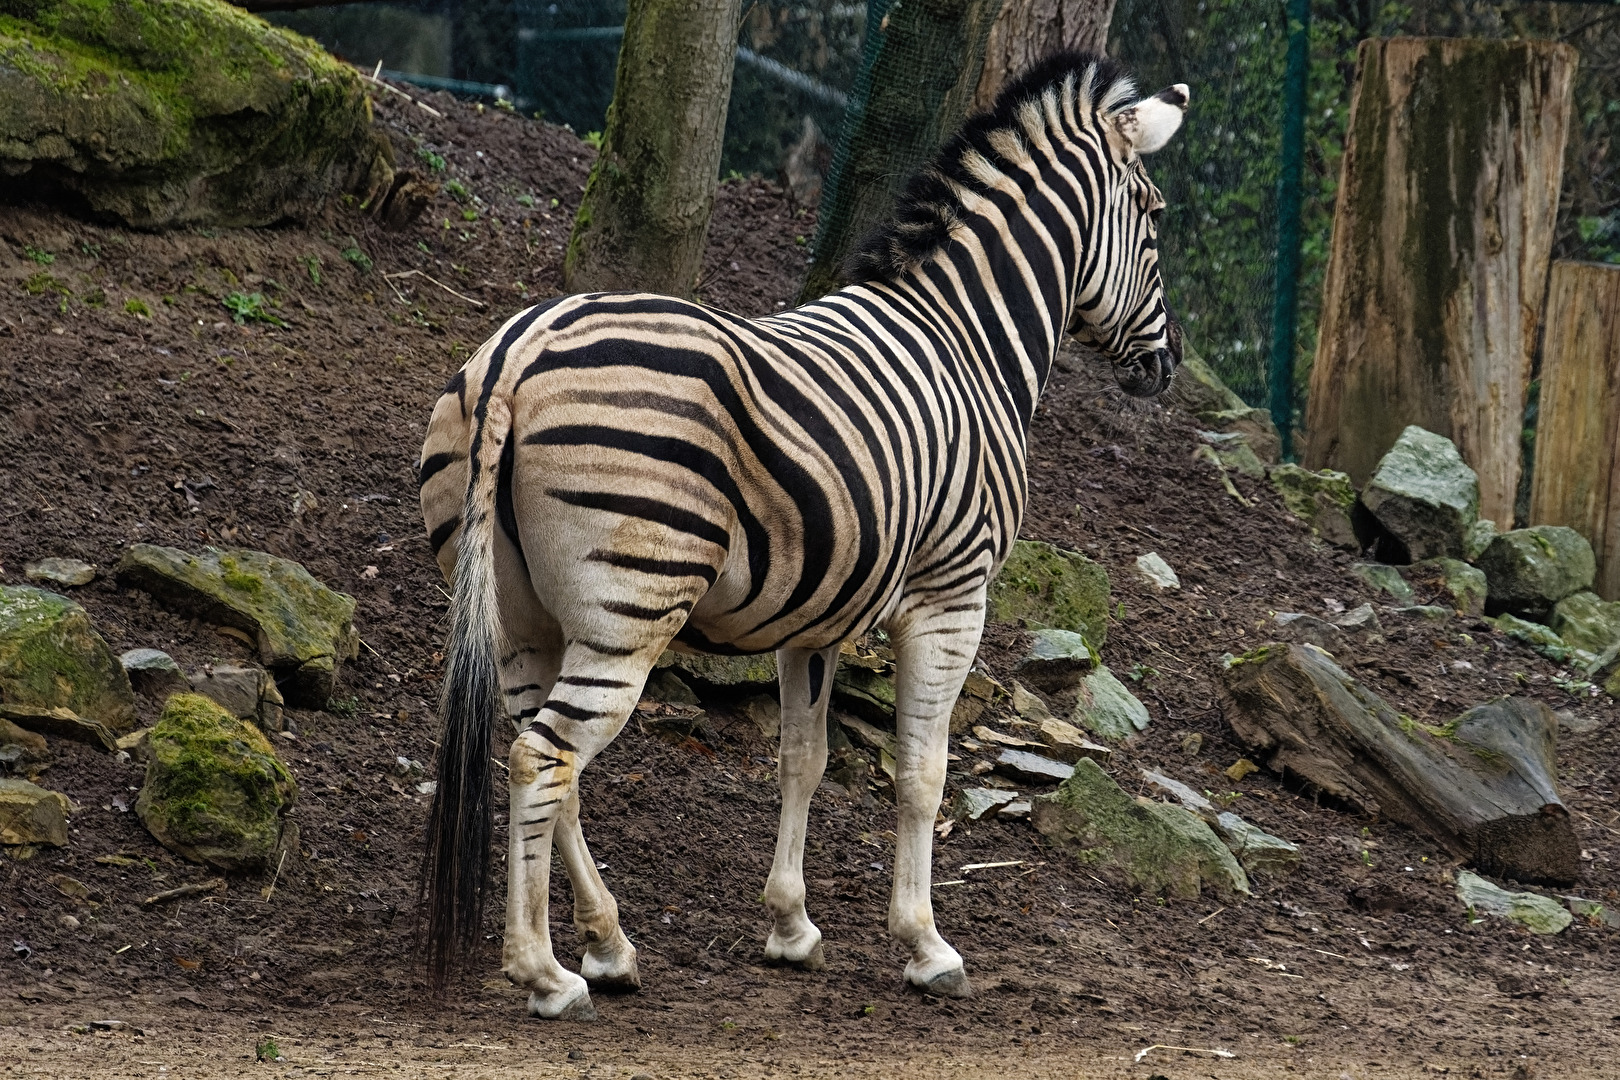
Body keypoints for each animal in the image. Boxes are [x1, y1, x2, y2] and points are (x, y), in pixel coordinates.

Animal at [417, 51, 1188, 1019]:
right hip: (630, 606)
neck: (969, 338)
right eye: (1154, 218)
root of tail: (518, 350)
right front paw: (926, 946)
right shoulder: (952, 595)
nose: (1168, 369)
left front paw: (789, 926)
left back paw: (608, 946)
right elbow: (922, 771)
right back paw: (545, 973)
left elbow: (803, 758)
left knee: (549, 766)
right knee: (542, 758)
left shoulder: (815, 612)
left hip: (524, 618)